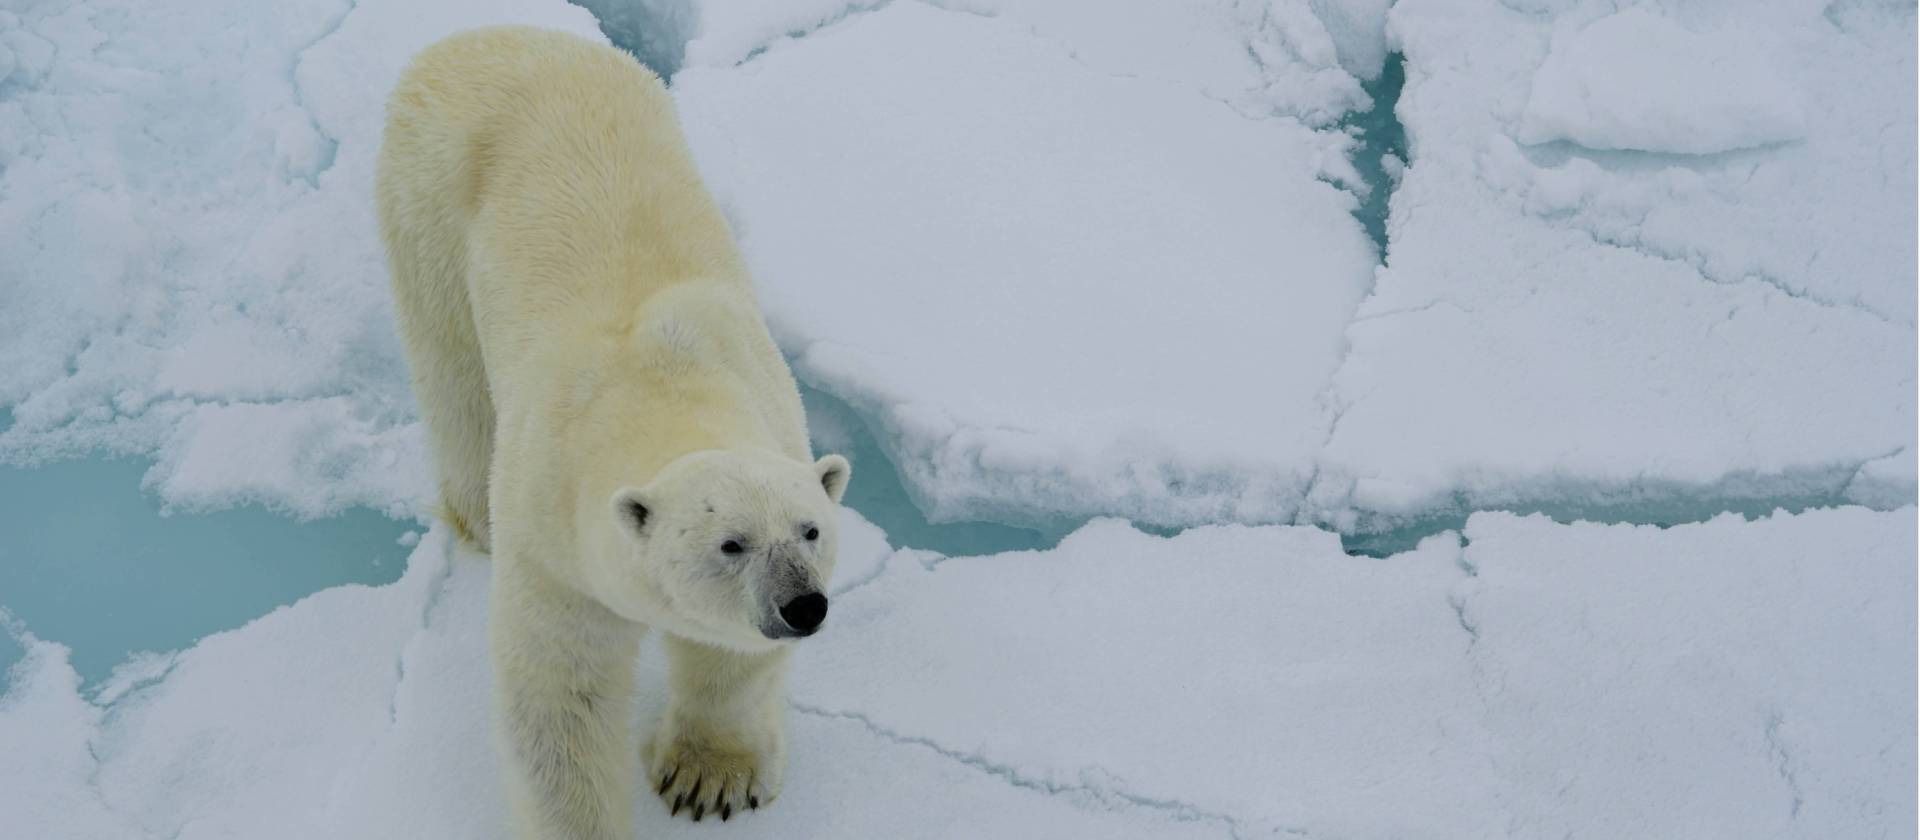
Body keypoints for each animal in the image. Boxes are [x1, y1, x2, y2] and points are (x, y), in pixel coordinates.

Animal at [375, 26, 850, 839]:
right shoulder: (553, 541)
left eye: (811, 530)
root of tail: (477, 36)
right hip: (428, 201)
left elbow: (729, 660)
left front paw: (710, 779)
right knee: (452, 372)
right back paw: (474, 513)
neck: (657, 382)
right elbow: (559, 696)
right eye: (731, 544)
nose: (804, 605)